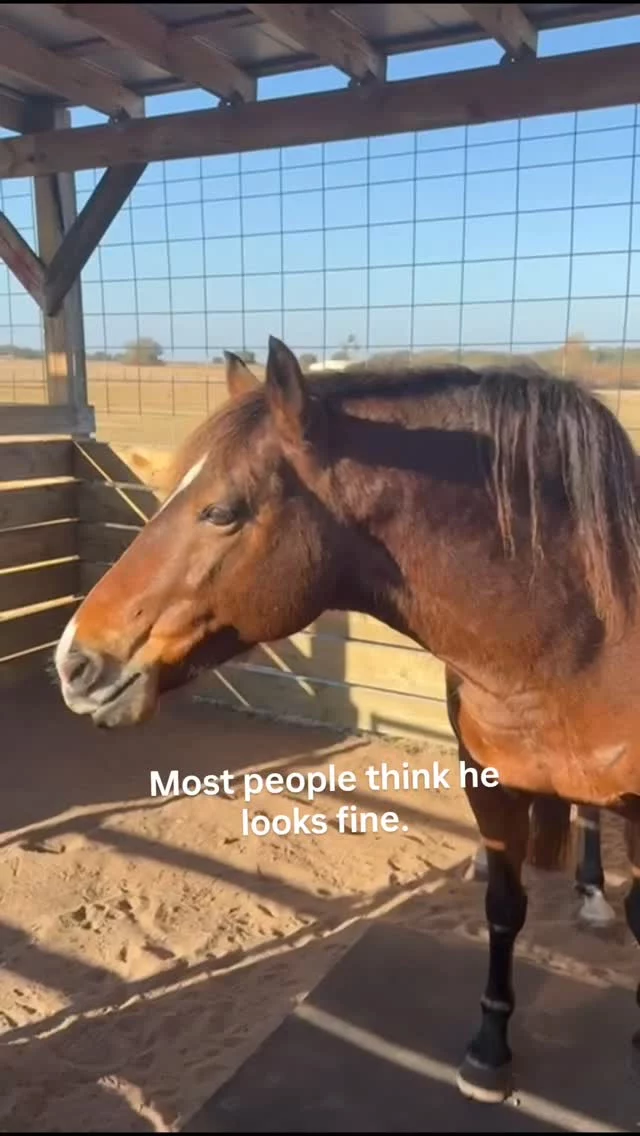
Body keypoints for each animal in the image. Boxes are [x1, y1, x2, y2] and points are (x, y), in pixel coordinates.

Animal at [54, 336, 640, 1105]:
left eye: (221, 511)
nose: (73, 663)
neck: (581, 635)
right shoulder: (487, 784)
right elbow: (504, 908)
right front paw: (488, 1049)